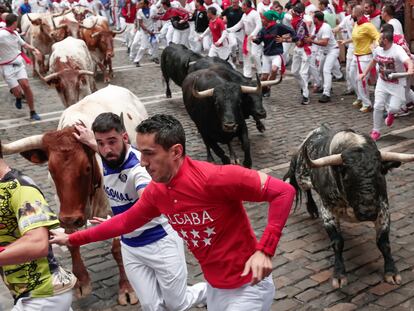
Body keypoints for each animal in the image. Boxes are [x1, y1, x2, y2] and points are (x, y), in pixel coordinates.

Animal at [284, 125, 414, 290]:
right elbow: (337, 242)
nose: (368, 212)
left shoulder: (383, 210)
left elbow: (383, 243)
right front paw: (339, 275)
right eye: (346, 175)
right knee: (306, 189)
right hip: (301, 176)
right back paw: (312, 209)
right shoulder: (328, 211)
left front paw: (391, 271)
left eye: (380, 173)